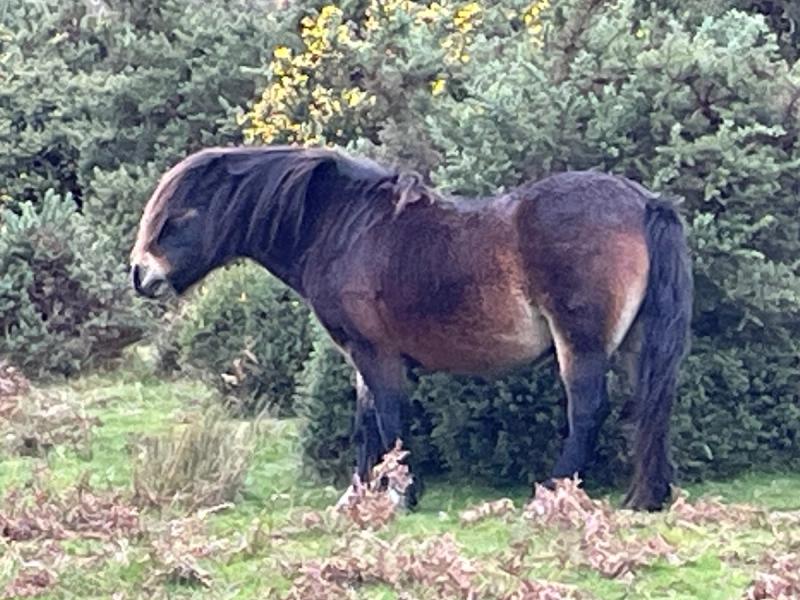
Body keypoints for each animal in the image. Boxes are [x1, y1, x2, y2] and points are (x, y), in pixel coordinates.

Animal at [128, 146, 692, 510]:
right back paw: (647, 496)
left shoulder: (376, 354)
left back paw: (552, 493)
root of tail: (645, 203)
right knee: (649, 407)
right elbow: (365, 425)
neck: (345, 228)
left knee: (587, 411)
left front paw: (401, 493)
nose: (139, 274)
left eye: (179, 217)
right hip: (636, 344)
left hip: (582, 345)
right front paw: (356, 496)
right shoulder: (361, 357)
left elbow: (390, 420)